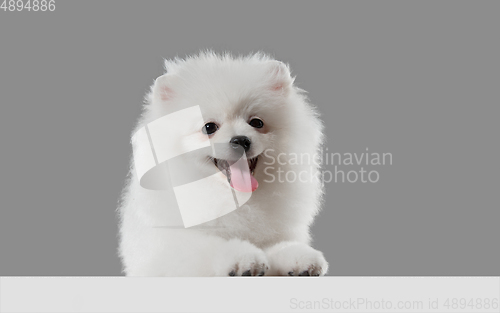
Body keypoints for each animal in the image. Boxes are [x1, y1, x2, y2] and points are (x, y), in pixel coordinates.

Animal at [118, 51, 328, 276]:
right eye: (209, 127)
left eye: (257, 122)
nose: (241, 140)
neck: (233, 199)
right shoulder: (165, 250)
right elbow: (206, 248)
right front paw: (243, 258)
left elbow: (278, 246)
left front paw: (299, 257)